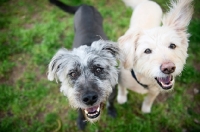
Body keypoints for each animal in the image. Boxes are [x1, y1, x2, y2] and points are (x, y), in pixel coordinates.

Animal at [47, 0, 121, 130]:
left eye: (98, 69)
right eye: (72, 73)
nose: (89, 98)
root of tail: (84, 5)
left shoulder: (113, 92)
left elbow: (111, 102)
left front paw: (111, 111)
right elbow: (80, 110)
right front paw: (81, 121)